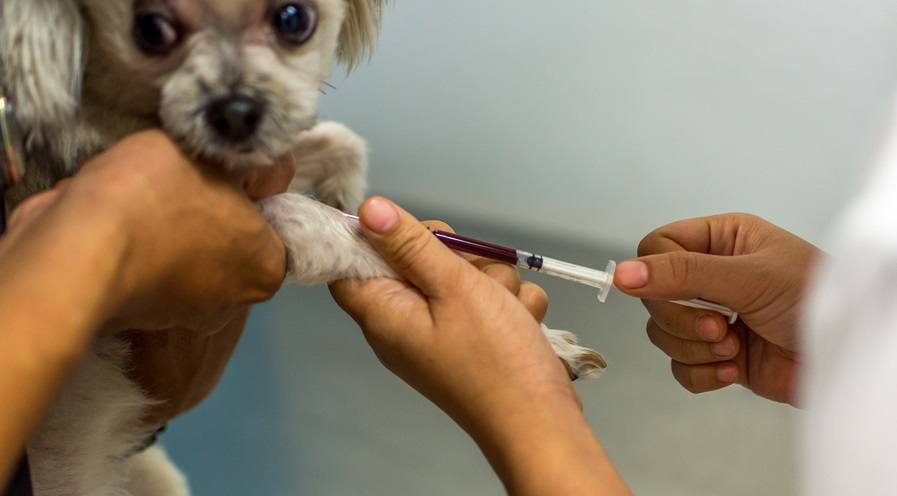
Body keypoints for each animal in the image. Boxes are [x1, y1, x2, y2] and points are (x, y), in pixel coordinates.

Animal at [0, 1, 604, 494]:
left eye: (294, 21)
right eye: (151, 28)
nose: (236, 113)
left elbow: (340, 143)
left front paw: (346, 191)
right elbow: (334, 231)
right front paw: (542, 341)